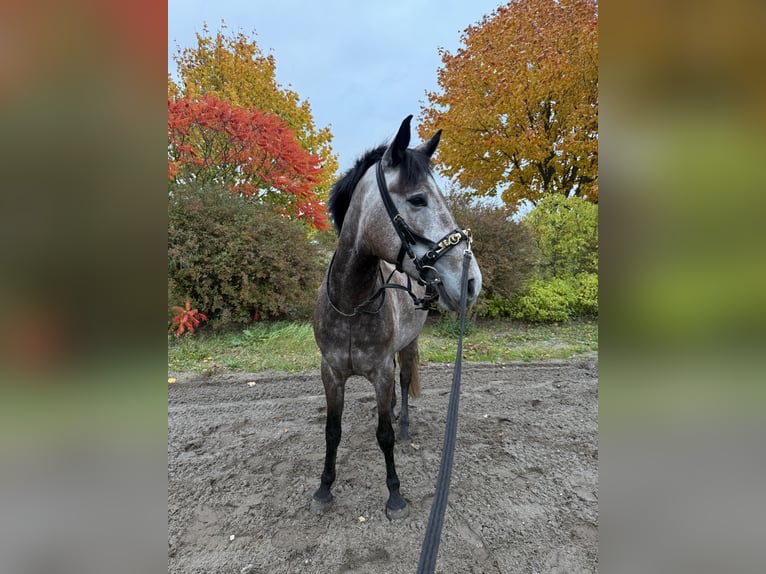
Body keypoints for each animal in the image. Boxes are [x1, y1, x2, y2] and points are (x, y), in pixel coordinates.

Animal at [311, 115, 482, 520]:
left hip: (407, 348)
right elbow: (332, 432)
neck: (352, 303)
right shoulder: (331, 373)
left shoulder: (381, 372)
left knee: (403, 386)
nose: (470, 281)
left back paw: (404, 425)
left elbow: (384, 435)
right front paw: (325, 488)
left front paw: (395, 495)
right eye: (418, 199)